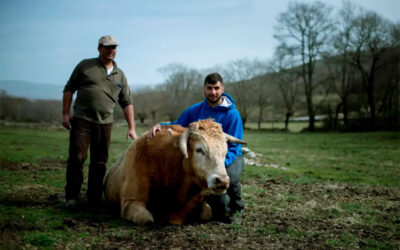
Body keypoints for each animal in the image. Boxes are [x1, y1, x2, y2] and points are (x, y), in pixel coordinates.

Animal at [102, 119, 247, 225]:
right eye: (199, 149)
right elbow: (147, 219)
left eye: (225, 151)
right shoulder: (130, 201)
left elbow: (207, 212)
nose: (222, 181)